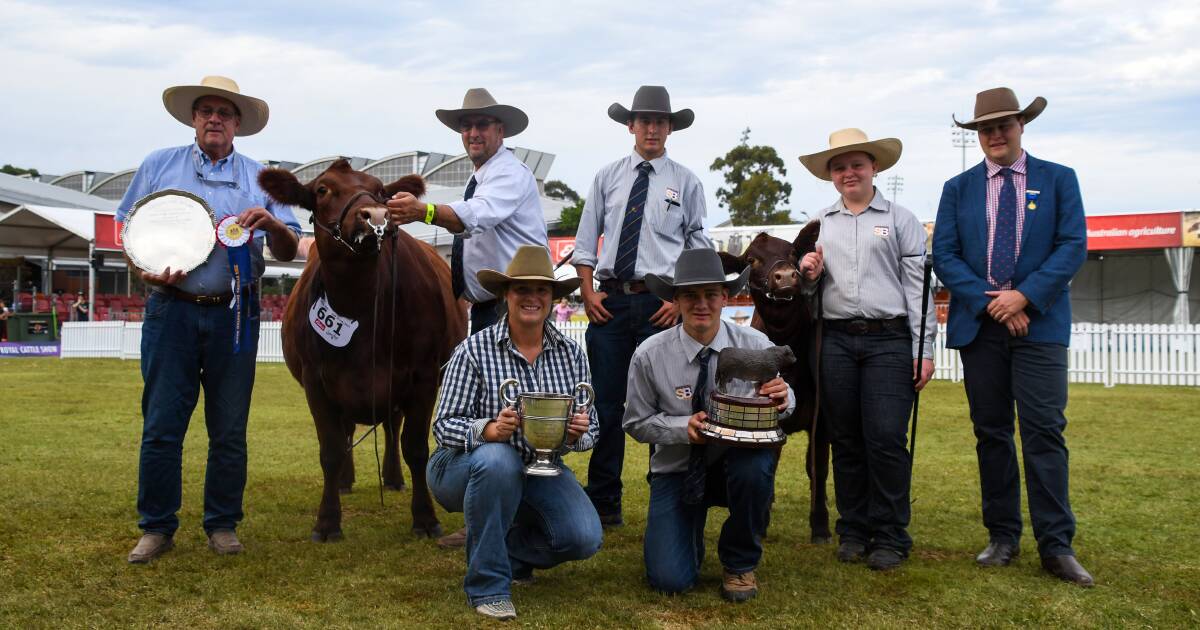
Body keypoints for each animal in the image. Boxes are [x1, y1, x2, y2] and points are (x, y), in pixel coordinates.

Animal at [258, 160, 463, 540]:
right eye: (322, 189)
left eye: (381, 190)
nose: (376, 215)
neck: (361, 306)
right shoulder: (316, 380)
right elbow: (331, 450)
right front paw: (327, 521)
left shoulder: (423, 375)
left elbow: (415, 447)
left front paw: (425, 519)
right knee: (350, 432)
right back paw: (344, 481)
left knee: (391, 427)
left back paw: (393, 478)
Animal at [715, 223, 830, 542]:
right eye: (751, 259)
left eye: (792, 253)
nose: (786, 276)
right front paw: (762, 518)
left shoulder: (822, 418)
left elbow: (817, 467)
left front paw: (820, 525)